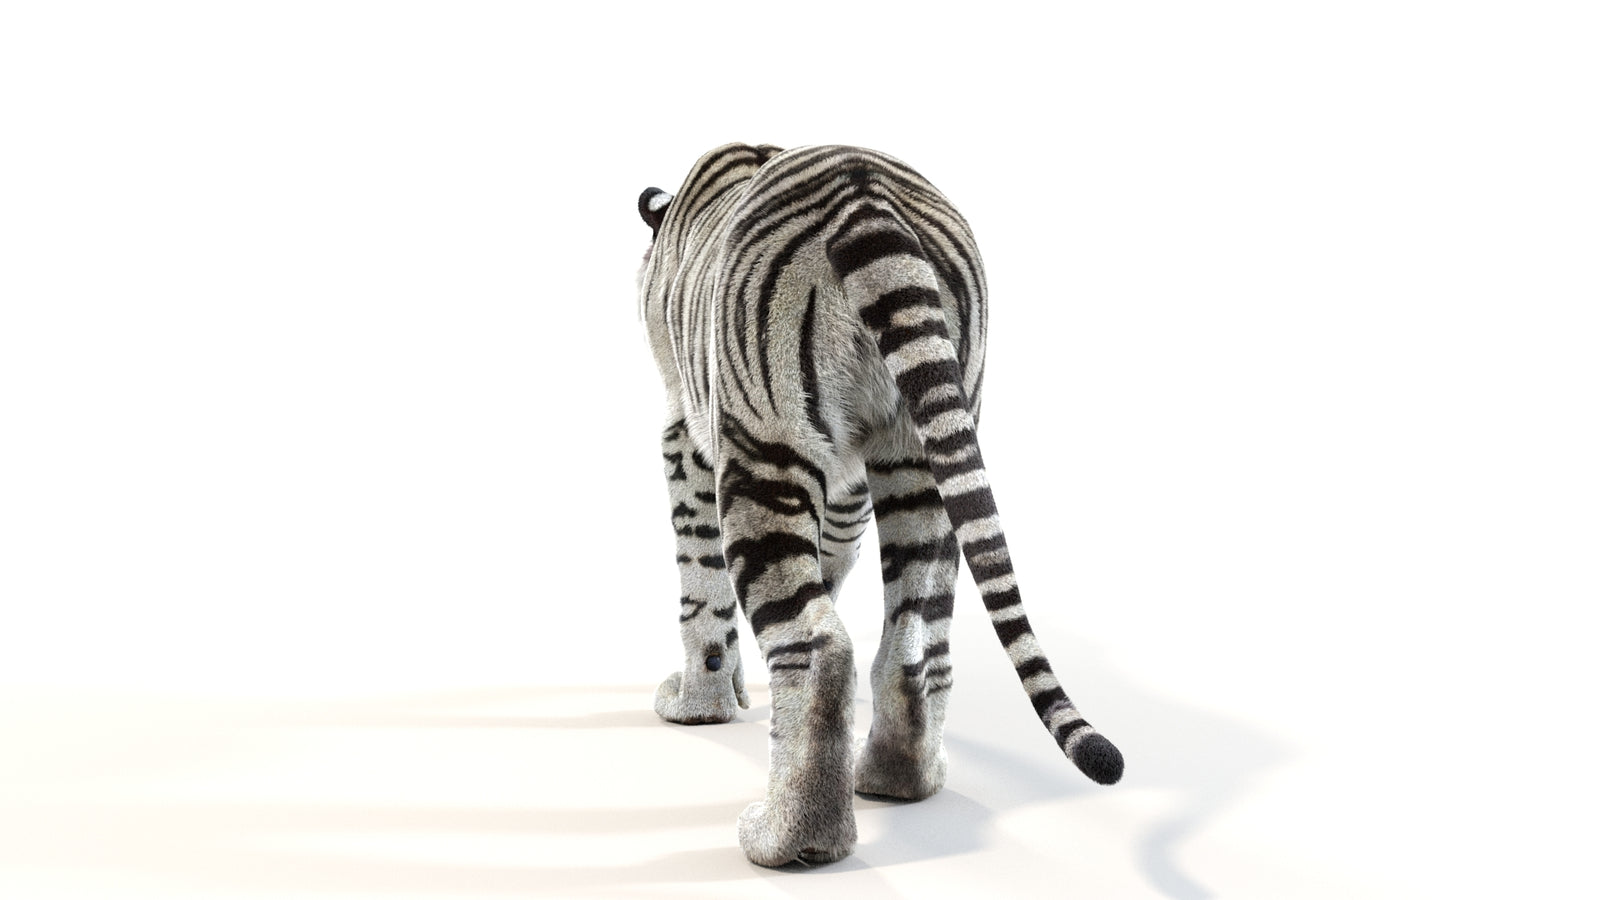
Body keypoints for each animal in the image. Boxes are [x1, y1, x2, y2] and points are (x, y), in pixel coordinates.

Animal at [636, 143, 1122, 867]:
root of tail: (866, 195)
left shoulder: (686, 432)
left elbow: (701, 587)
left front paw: (700, 703)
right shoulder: (850, 482)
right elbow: (828, 568)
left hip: (765, 441)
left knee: (816, 646)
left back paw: (788, 838)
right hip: (924, 452)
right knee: (914, 639)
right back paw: (899, 777)